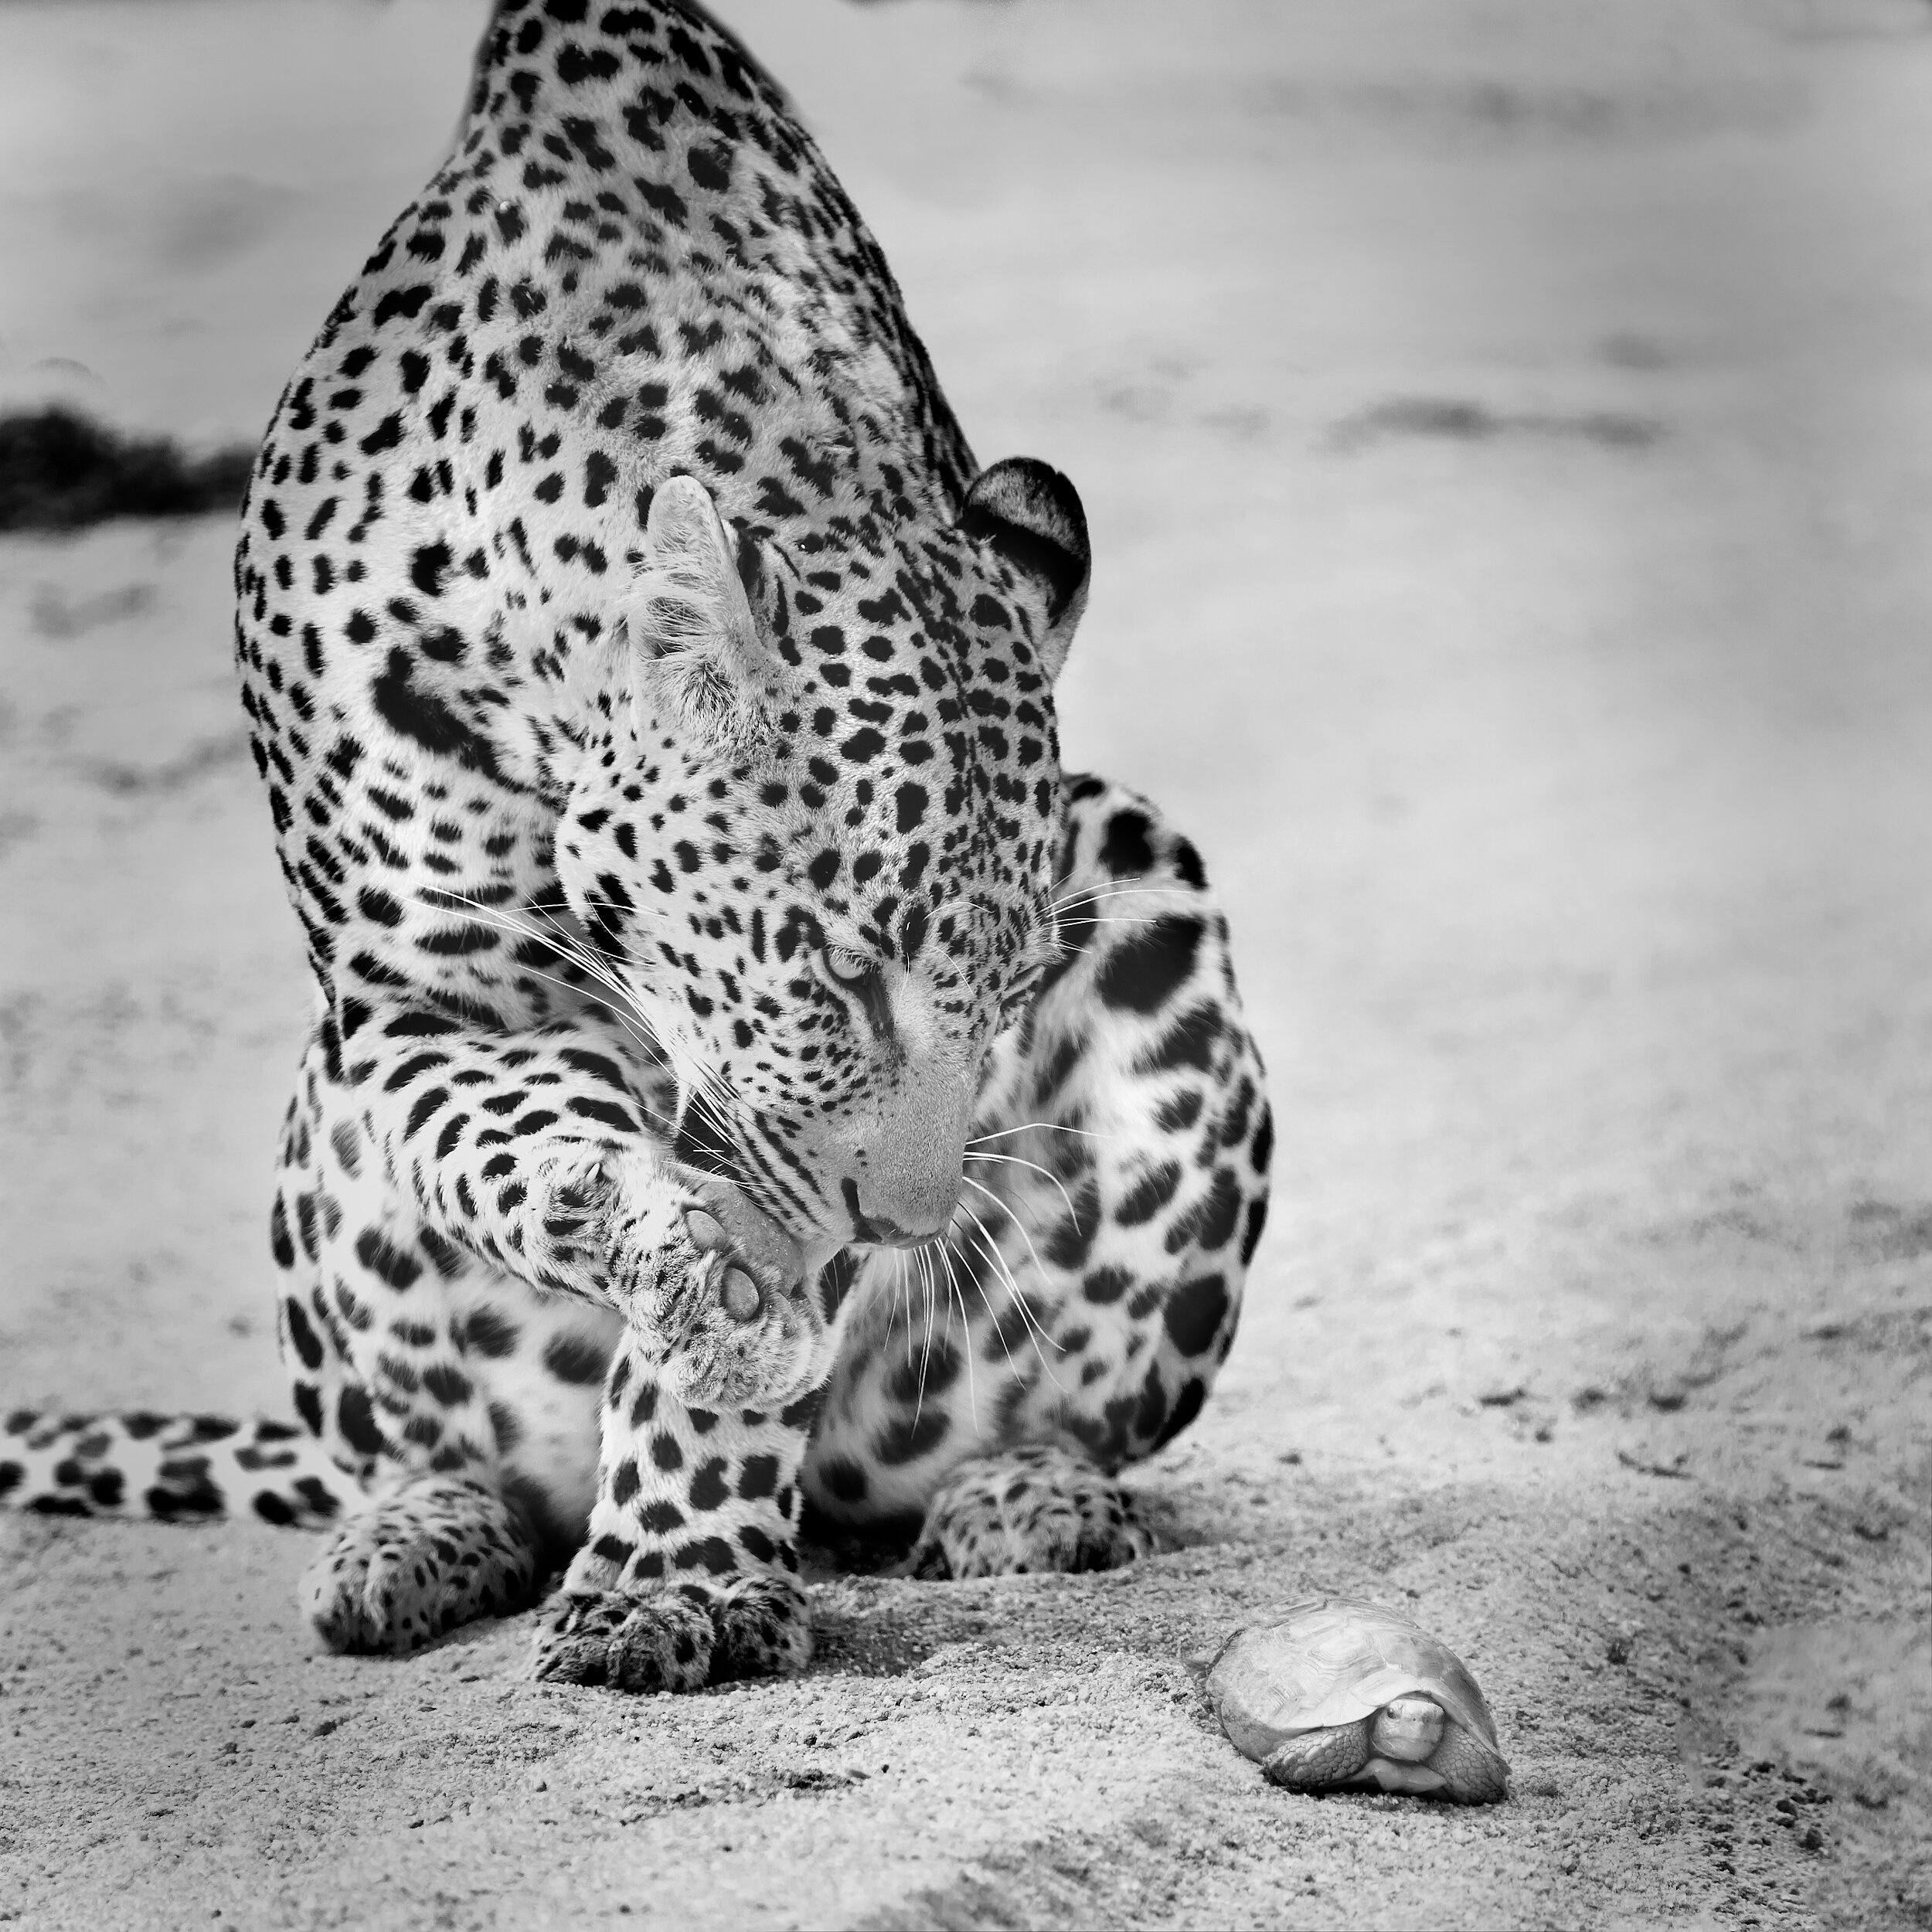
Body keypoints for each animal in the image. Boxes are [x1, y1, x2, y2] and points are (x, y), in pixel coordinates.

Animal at [0, 0, 1273, 1691]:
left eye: (1006, 997)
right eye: (842, 971)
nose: (910, 1224)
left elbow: (731, 1336)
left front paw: (678, 1574)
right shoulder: (429, 994)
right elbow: (529, 1124)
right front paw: (640, 1234)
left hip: (1143, 880)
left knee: (946, 1460)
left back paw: (1027, 1495)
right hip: (327, 1190)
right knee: (421, 1460)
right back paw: (413, 1536)